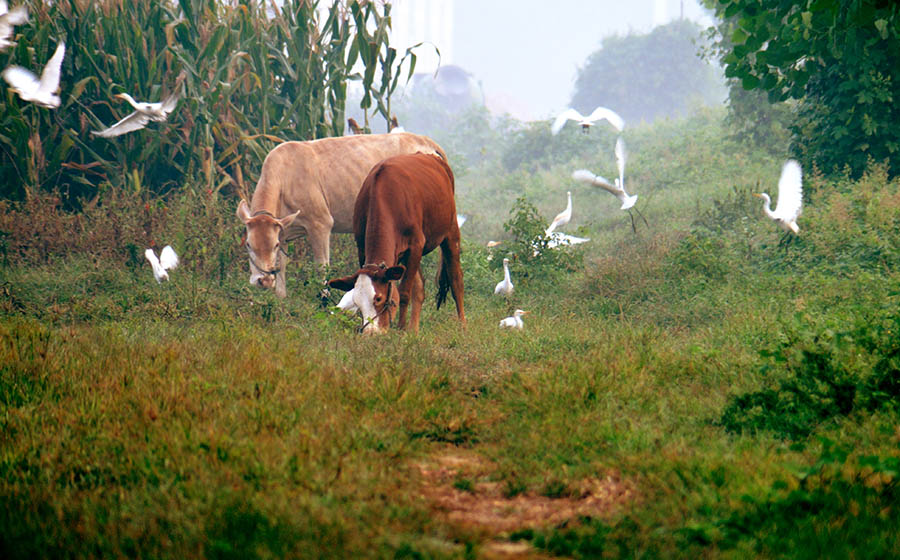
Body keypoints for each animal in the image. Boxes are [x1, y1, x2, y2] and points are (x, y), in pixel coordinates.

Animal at [232, 132, 442, 298]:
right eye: (248, 244)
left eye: (273, 245)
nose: (263, 281)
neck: (284, 178)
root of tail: (424, 140)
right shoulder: (284, 231)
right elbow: (282, 265)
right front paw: (281, 299)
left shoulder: (320, 224)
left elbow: (322, 268)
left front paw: (324, 302)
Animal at [326, 152, 464, 332]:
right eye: (357, 302)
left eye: (378, 298)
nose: (371, 332)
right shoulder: (362, 248)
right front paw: (405, 330)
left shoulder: (416, 245)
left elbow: (404, 292)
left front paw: (401, 329)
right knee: (420, 287)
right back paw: (414, 331)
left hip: (450, 231)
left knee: (456, 280)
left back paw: (463, 326)